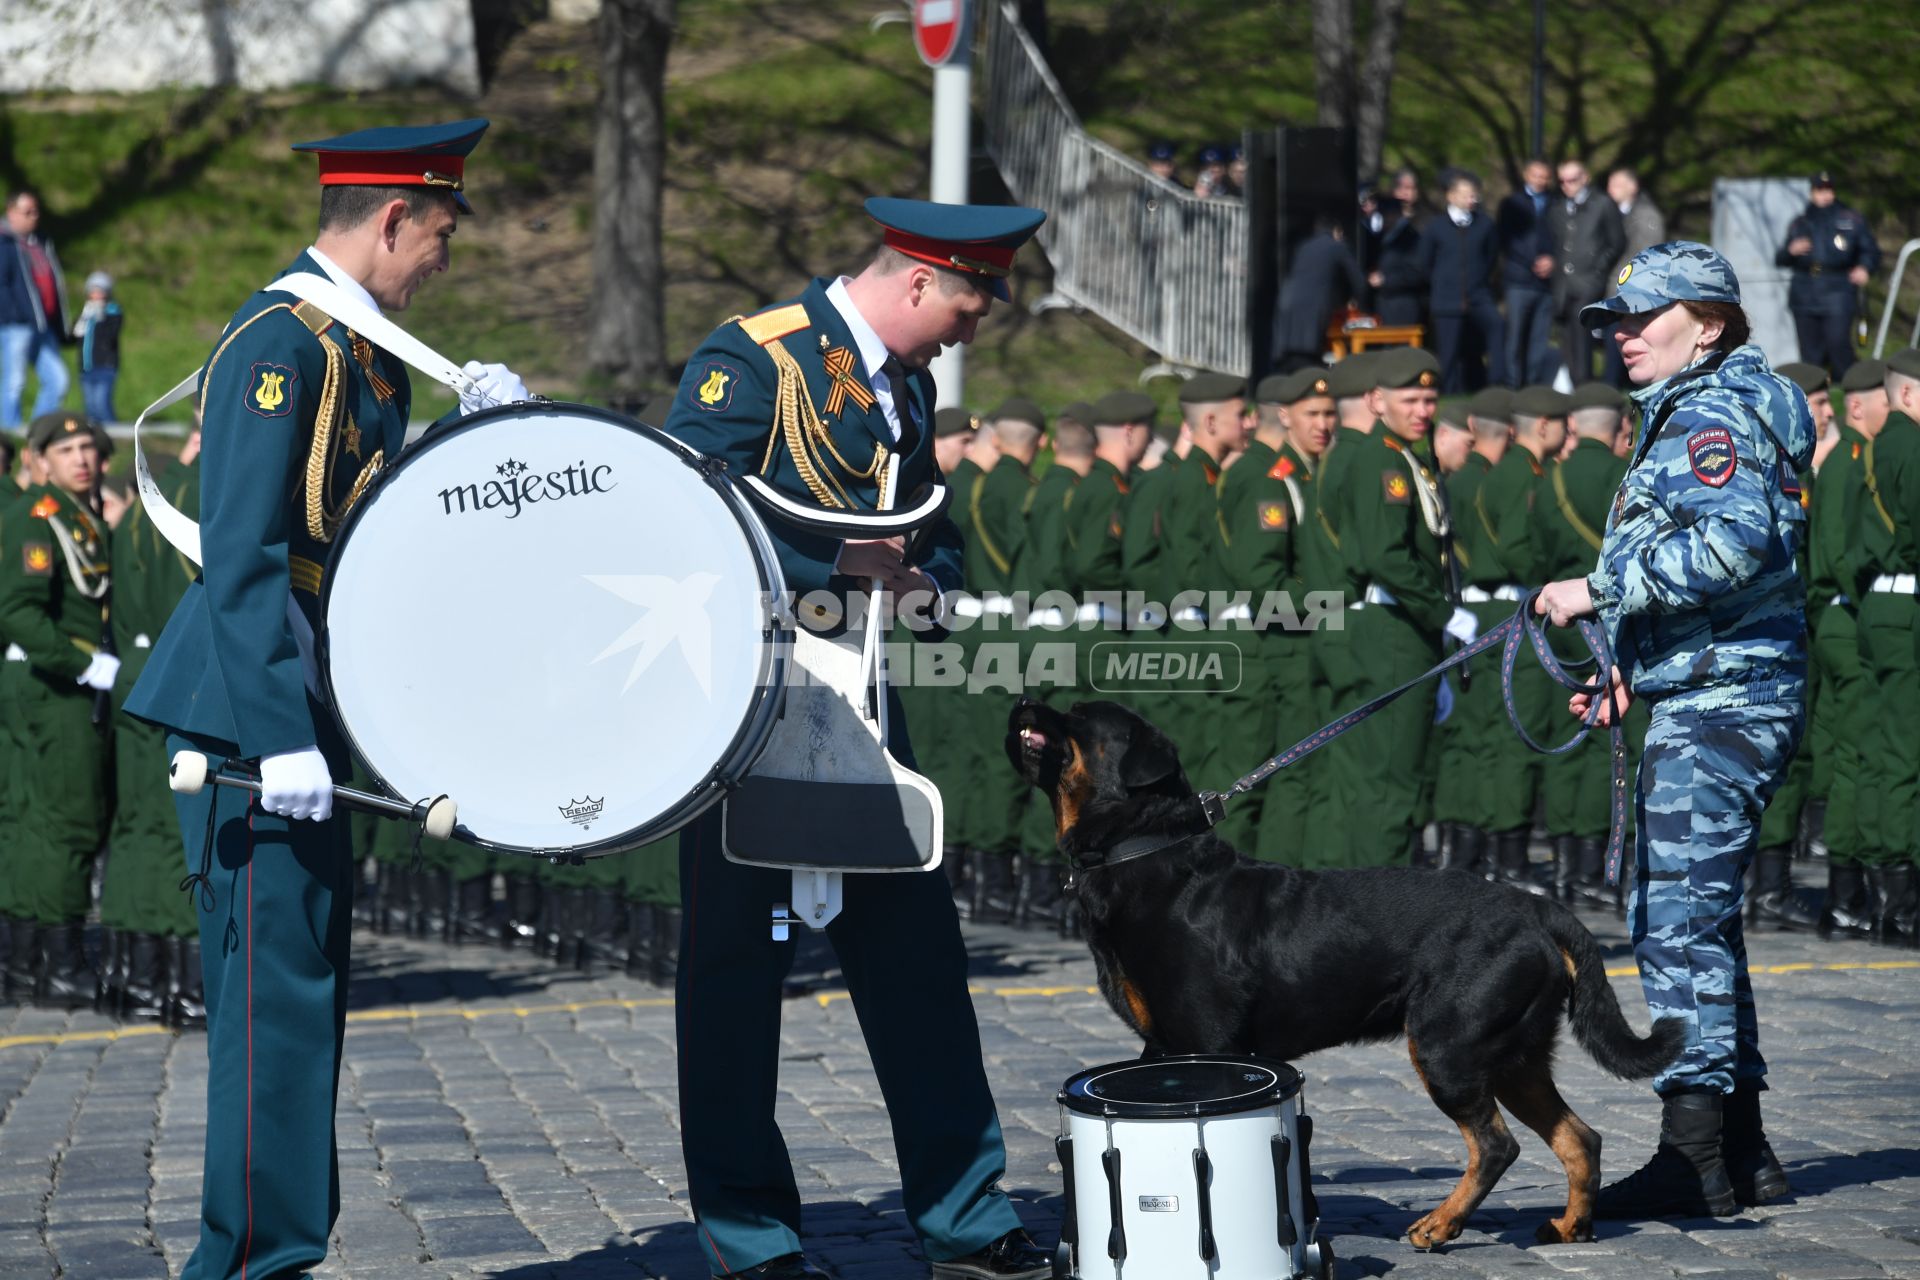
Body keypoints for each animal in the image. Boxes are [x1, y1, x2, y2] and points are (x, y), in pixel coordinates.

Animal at [1006, 702, 1681, 1251]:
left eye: (1077, 716)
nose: (1022, 699)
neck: (1143, 849)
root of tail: (1541, 908)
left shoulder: (1206, 1042)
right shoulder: (1160, 1047)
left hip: (1450, 1044)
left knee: (1496, 1144)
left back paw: (1440, 1225)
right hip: (1514, 1054)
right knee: (1579, 1138)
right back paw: (1571, 1227)